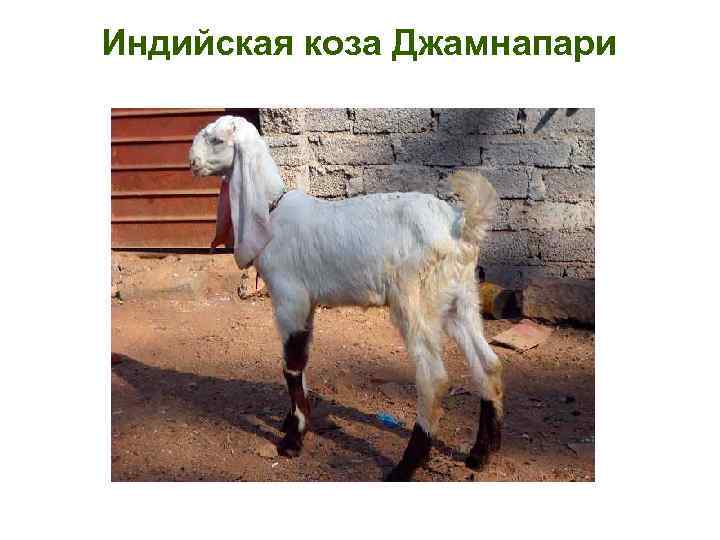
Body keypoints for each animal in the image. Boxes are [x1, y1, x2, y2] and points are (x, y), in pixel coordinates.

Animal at [189, 116, 503, 481]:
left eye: (217, 140)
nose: (191, 162)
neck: (272, 212)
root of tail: (460, 226)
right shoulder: (307, 304)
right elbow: (302, 361)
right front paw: (292, 421)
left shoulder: (289, 299)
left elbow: (291, 367)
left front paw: (293, 440)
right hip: (460, 299)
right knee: (487, 364)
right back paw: (481, 452)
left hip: (415, 299)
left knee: (433, 378)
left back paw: (405, 466)